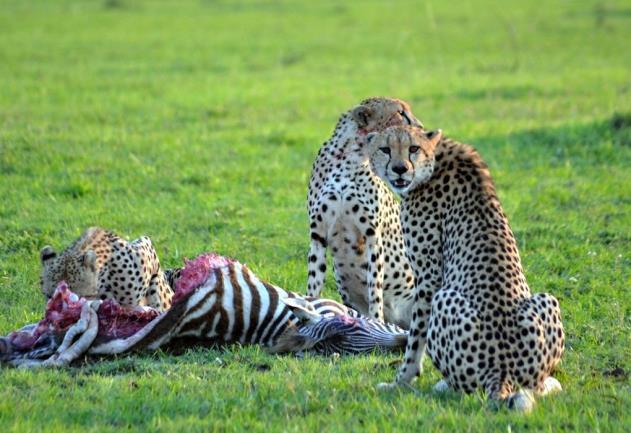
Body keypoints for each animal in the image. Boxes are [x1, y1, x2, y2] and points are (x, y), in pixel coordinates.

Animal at [306, 96, 420, 326]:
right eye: (401, 113)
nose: (420, 128)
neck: (349, 156)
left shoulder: (372, 237)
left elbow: (374, 291)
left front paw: (376, 323)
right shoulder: (317, 235)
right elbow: (313, 283)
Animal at [368, 125, 564, 412]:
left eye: (413, 148)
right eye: (385, 149)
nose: (400, 169)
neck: (435, 158)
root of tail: (501, 371)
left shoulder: (428, 279)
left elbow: (415, 340)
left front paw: (400, 381)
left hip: (444, 297)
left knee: (465, 386)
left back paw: (442, 385)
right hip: (546, 300)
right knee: (533, 385)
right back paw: (550, 383)